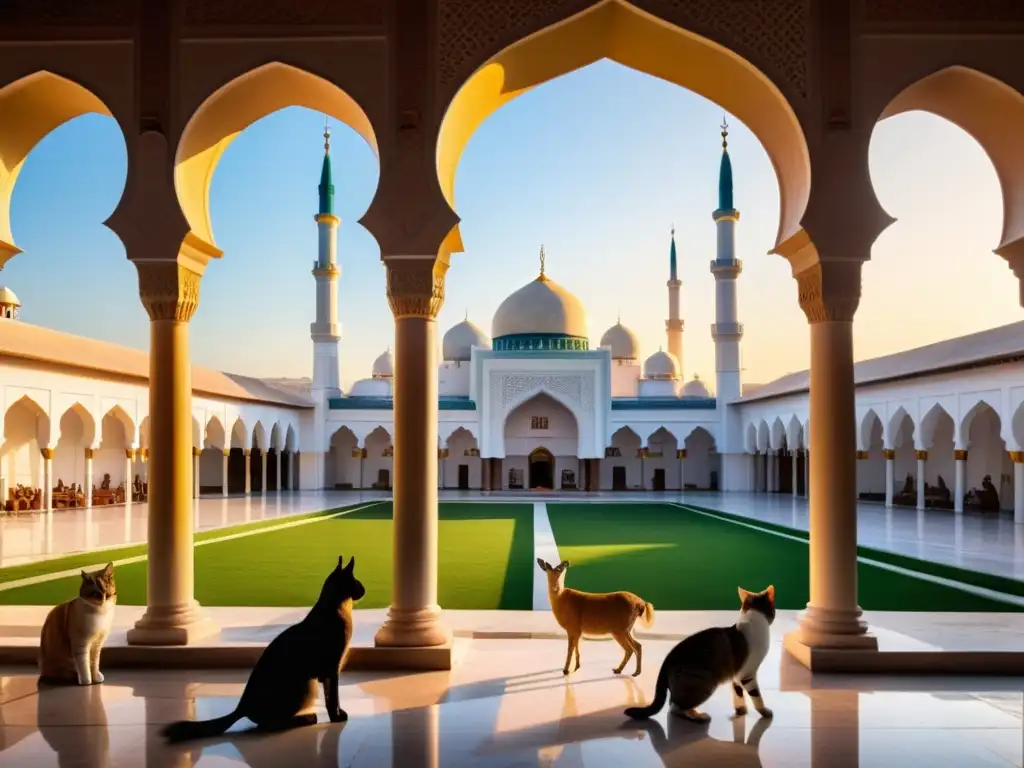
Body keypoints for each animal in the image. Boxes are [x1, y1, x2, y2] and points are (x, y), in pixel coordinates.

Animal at [622, 585, 774, 724]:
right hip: (705, 685)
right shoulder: (748, 675)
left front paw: (741, 711)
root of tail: (666, 661)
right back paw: (699, 717)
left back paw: (695, 712)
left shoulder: (737, 675)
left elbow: (738, 694)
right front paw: (765, 712)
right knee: (675, 708)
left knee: (674, 705)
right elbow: (757, 697)